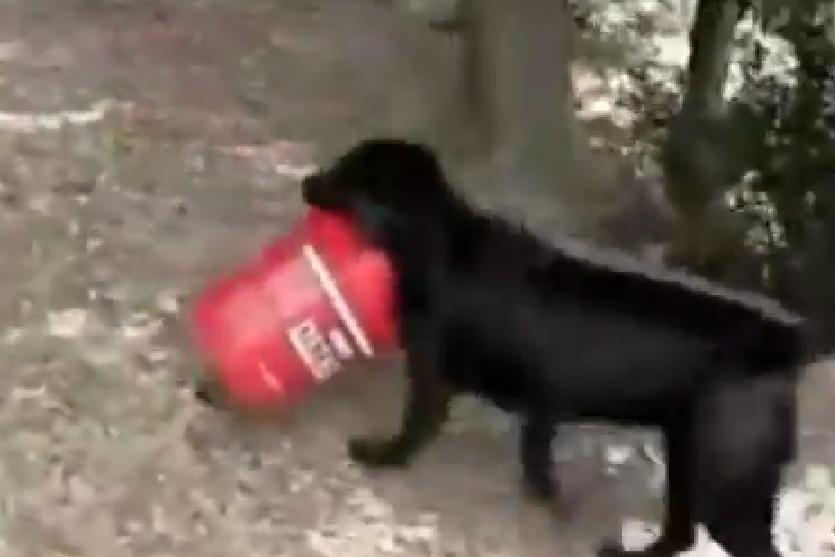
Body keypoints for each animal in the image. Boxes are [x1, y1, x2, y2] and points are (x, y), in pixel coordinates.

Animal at [304, 138, 808, 556]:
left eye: (346, 173)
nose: (307, 181)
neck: (438, 245)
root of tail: (785, 347)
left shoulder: (433, 378)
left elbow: (413, 433)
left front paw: (380, 457)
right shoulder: (540, 409)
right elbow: (537, 461)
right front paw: (546, 499)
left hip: (724, 490)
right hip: (687, 459)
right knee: (679, 535)